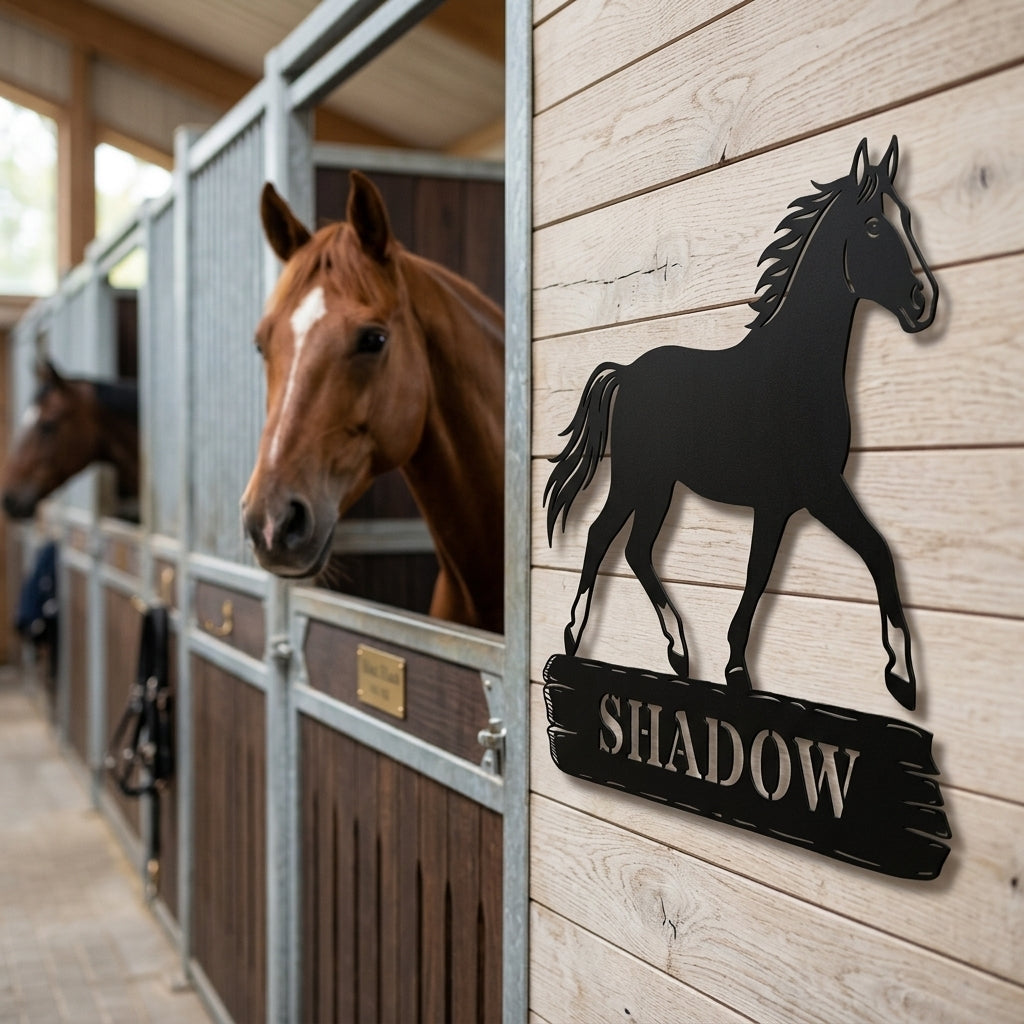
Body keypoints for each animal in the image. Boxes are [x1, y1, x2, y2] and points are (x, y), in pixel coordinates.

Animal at [544, 137, 939, 711]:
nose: (922, 303)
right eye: (872, 226)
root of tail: (628, 371)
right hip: (643, 480)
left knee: (634, 549)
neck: (793, 370)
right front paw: (901, 679)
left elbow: (784, 569)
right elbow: (860, 554)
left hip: (657, 485)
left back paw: (678, 651)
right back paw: (579, 635)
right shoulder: (816, 490)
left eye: (907, 218)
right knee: (602, 536)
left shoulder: (784, 503)